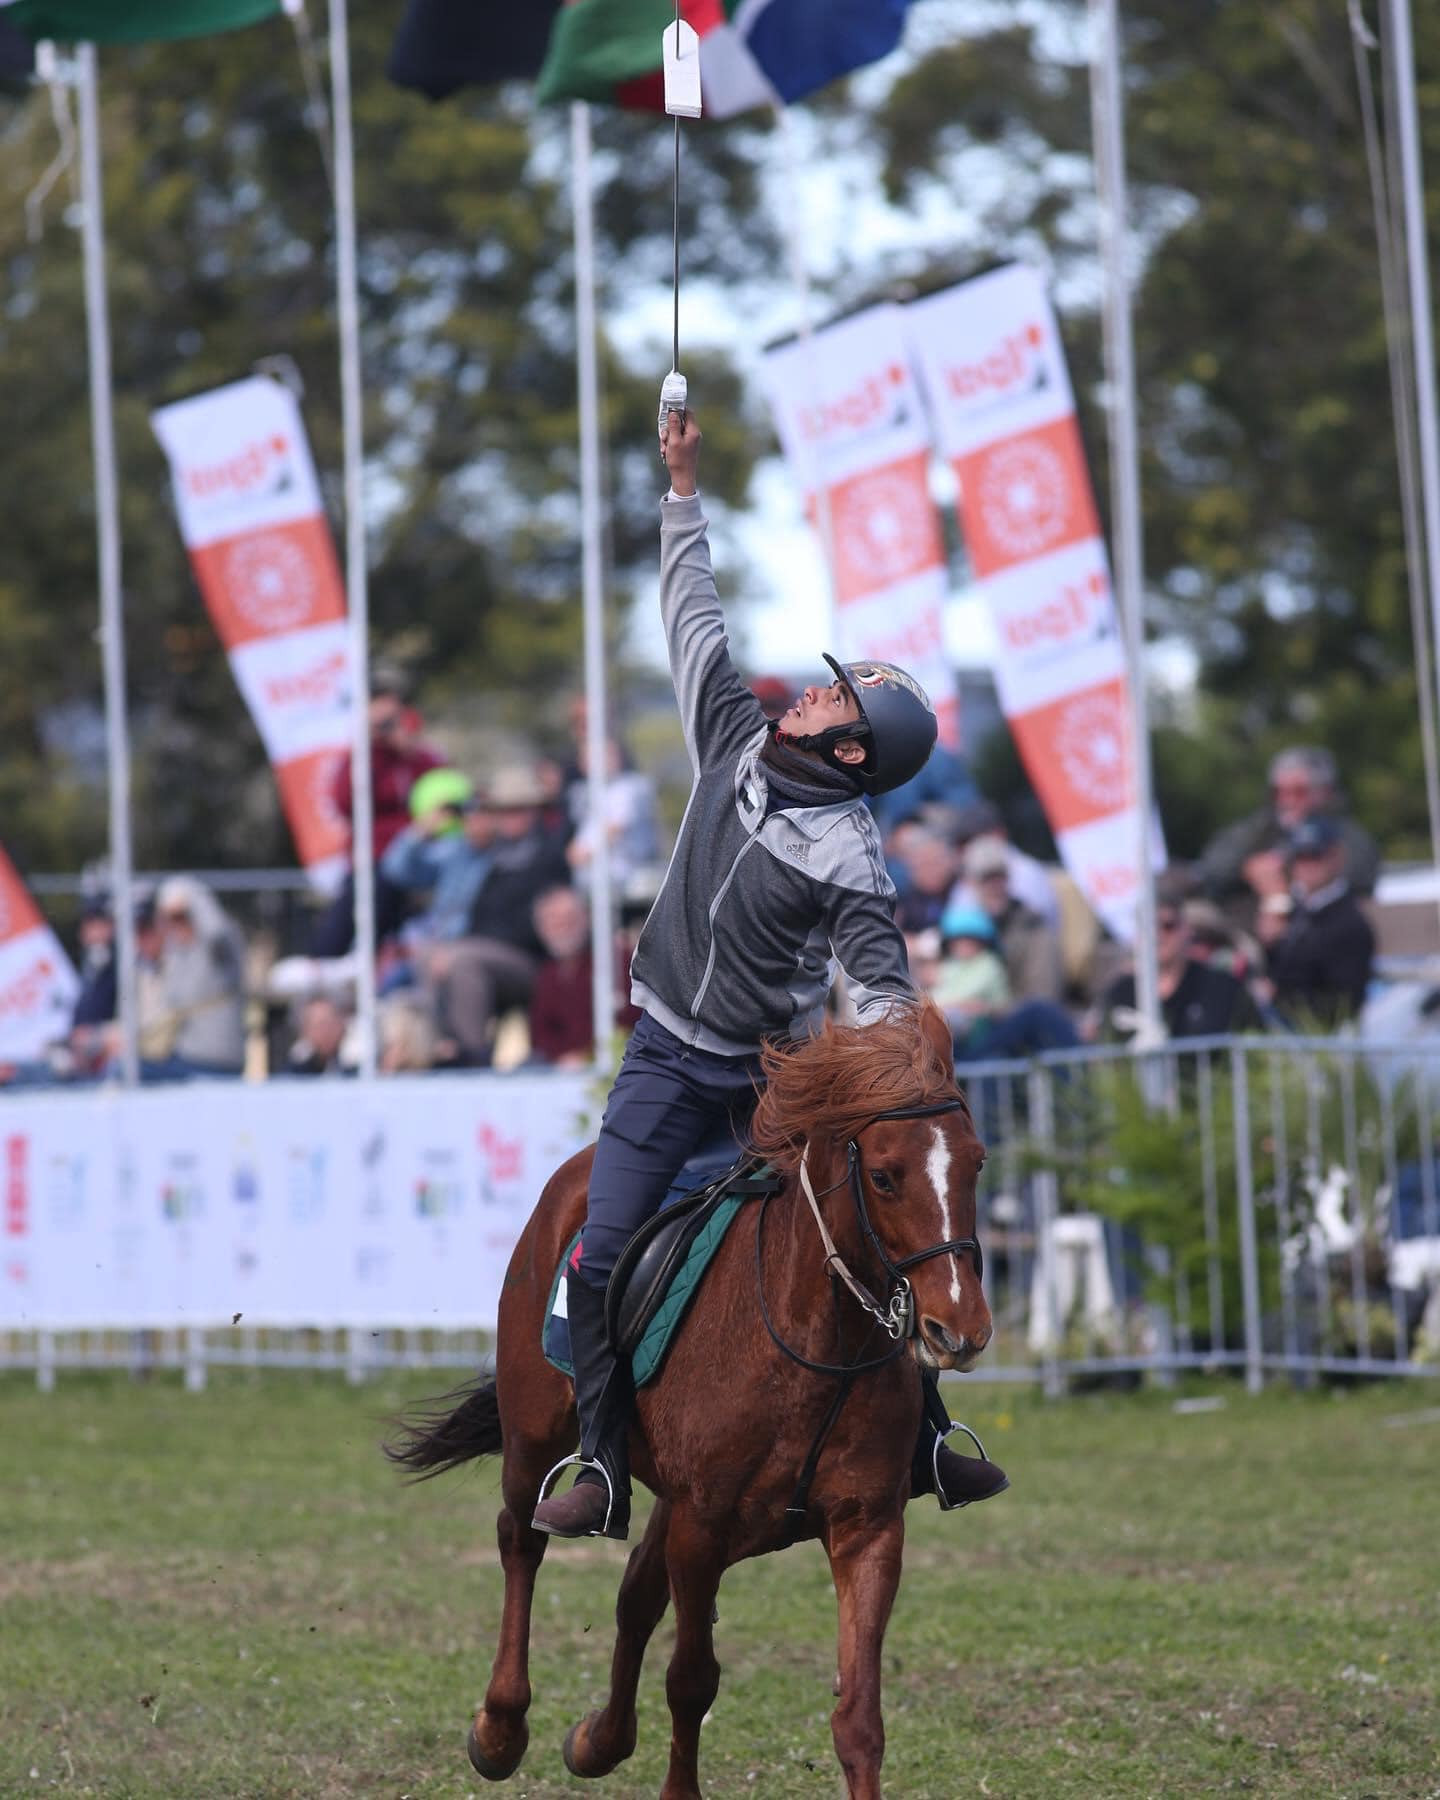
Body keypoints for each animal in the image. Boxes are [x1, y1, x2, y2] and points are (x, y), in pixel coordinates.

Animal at [388, 1008, 993, 1792]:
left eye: (975, 1163)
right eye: (886, 1177)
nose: (961, 1329)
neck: (814, 1340)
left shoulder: (867, 1528)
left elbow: (859, 1719)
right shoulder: (702, 1528)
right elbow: (691, 1680)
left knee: (635, 1594)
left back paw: (599, 1741)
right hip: (534, 1436)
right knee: (521, 1540)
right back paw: (500, 1729)